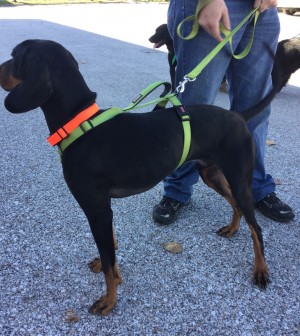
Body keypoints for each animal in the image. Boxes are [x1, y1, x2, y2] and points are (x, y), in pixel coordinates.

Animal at [0, 40, 278, 316]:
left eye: (15, 56)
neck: (81, 124)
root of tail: (239, 116)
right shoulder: (104, 209)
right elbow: (110, 250)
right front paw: (109, 272)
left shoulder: (96, 209)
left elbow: (109, 263)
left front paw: (109, 301)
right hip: (211, 174)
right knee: (236, 206)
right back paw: (232, 228)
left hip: (239, 179)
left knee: (256, 227)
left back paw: (260, 270)